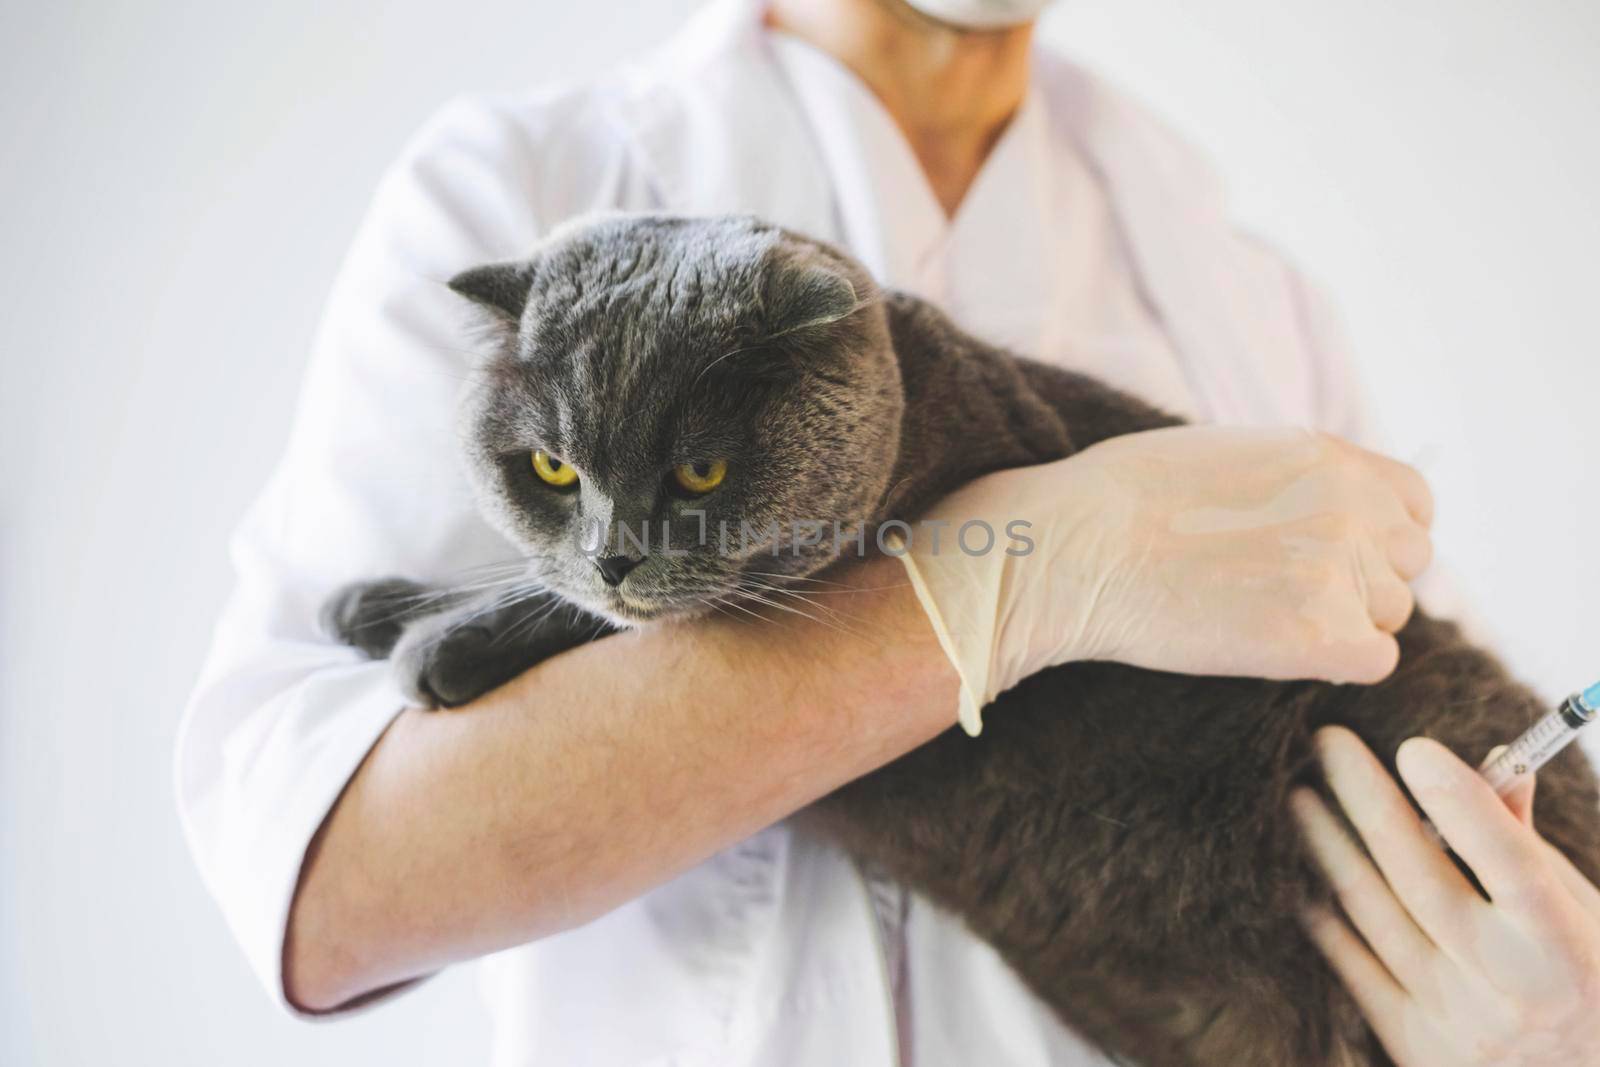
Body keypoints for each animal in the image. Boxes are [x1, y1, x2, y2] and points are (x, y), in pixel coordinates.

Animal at [321, 217, 1600, 1067]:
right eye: (550, 467)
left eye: (701, 473)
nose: (613, 552)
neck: (920, 400)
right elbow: (547, 589)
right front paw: (377, 600)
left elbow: (592, 624)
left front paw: (435, 639)